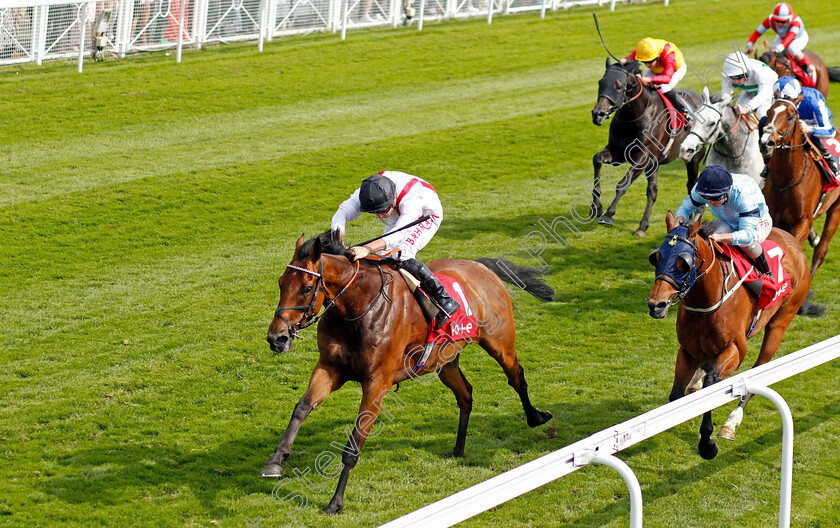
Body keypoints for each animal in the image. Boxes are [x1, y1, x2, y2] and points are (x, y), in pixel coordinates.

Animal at [260, 231, 556, 512]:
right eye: (280, 283)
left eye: (307, 288)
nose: (277, 338)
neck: (358, 307)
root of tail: (480, 266)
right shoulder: (330, 368)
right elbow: (302, 407)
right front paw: (275, 461)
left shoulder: (377, 382)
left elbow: (354, 444)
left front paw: (335, 502)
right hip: (444, 360)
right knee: (466, 394)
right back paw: (458, 449)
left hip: (500, 343)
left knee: (516, 376)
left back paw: (535, 417)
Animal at [592, 59, 708, 237]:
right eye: (600, 83)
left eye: (619, 86)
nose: (597, 114)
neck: (635, 115)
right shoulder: (618, 152)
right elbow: (597, 159)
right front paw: (596, 207)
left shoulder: (642, 157)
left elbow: (623, 183)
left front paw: (608, 214)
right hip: (654, 164)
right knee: (652, 192)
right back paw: (642, 226)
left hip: (693, 158)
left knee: (691, 186)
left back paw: (692, 220)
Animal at [648, 212, 812, 460]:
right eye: (656, 257)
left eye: (682, 262)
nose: (655, 305)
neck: (707, 299)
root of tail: (794, 242)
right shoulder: (687, 351)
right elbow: (676, 395)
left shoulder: (736, 350)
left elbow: (713, 382)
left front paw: (707, 444)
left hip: (780, 322)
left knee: (759, 369)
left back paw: (731, 422)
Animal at [760, 97, 840, 282]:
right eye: (768, 112)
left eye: (790, 117)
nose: (766, 142)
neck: (787, 180)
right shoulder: (775, 220)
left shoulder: (803, 222)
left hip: (836, 209)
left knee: (821, 250)